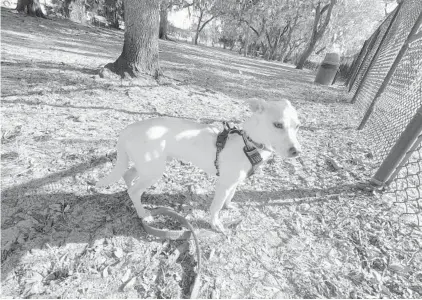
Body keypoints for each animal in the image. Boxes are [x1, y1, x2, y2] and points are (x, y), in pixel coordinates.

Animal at [96, 98, 300, 232]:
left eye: (297, 126)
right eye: (278, 125)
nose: (296, 151)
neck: (248, 144)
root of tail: (128, 129)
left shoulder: (233, 182)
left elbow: (230, 197)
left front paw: (228, 207)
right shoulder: (223, 184)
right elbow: (215, 207)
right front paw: (215, 223)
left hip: (149, 166)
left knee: (128, 176)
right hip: (154, 170)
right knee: (134, 190)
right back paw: (143, 213)